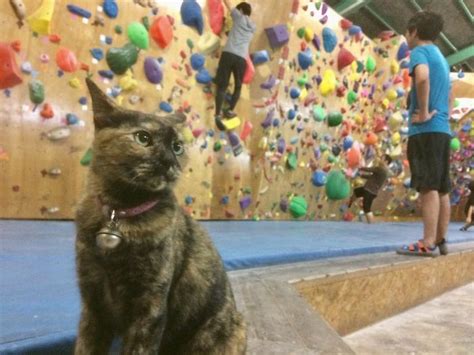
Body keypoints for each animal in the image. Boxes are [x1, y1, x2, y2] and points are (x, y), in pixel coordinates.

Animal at [76, 78, 246, 355]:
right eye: (143, 138)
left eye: (177, 147)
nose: (169, 162)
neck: (119, 213)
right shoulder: (93, 302)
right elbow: (84, 347)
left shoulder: (150, 307)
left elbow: (139, 349)